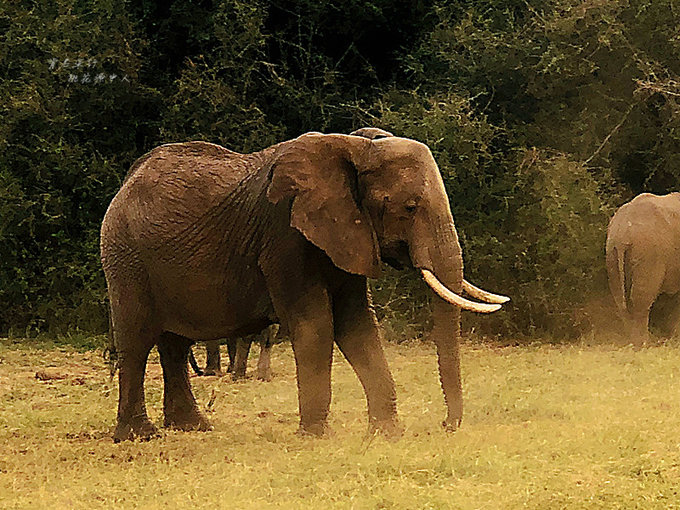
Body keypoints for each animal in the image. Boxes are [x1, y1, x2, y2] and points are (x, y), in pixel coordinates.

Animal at [99, 128, 504, 442]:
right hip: (125, 256)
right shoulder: (284, 236)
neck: (357, 148)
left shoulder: (347, 234)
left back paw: (194, 428)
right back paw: (139, 436)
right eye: (409, 207)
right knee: (136, 341)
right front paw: (316, 436)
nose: (446, 426)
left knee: (174, 344)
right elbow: (316, 323)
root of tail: (125, 183)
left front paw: (386, 434)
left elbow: (357, 324)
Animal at [604, 192, 680, 346]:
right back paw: (643, 343)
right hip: (649, 250)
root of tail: (623, 232)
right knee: (641, 297)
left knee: (619, 297)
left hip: (611, 251)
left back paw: (632, 341)